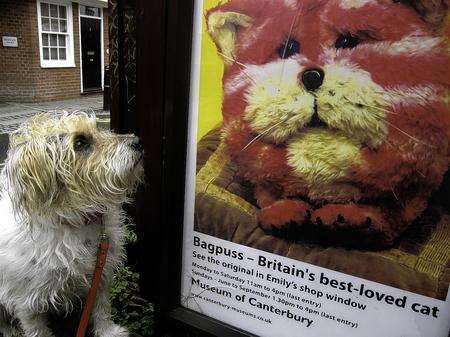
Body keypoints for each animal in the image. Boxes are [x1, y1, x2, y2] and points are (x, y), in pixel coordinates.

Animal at [0, 113, 143, 336]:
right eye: (80, 143)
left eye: (98, 129)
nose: (137, 142)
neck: (77, 222)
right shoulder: (27, 304)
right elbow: (37, 330)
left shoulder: (101, 275)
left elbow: (102, 308)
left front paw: (107, 331)